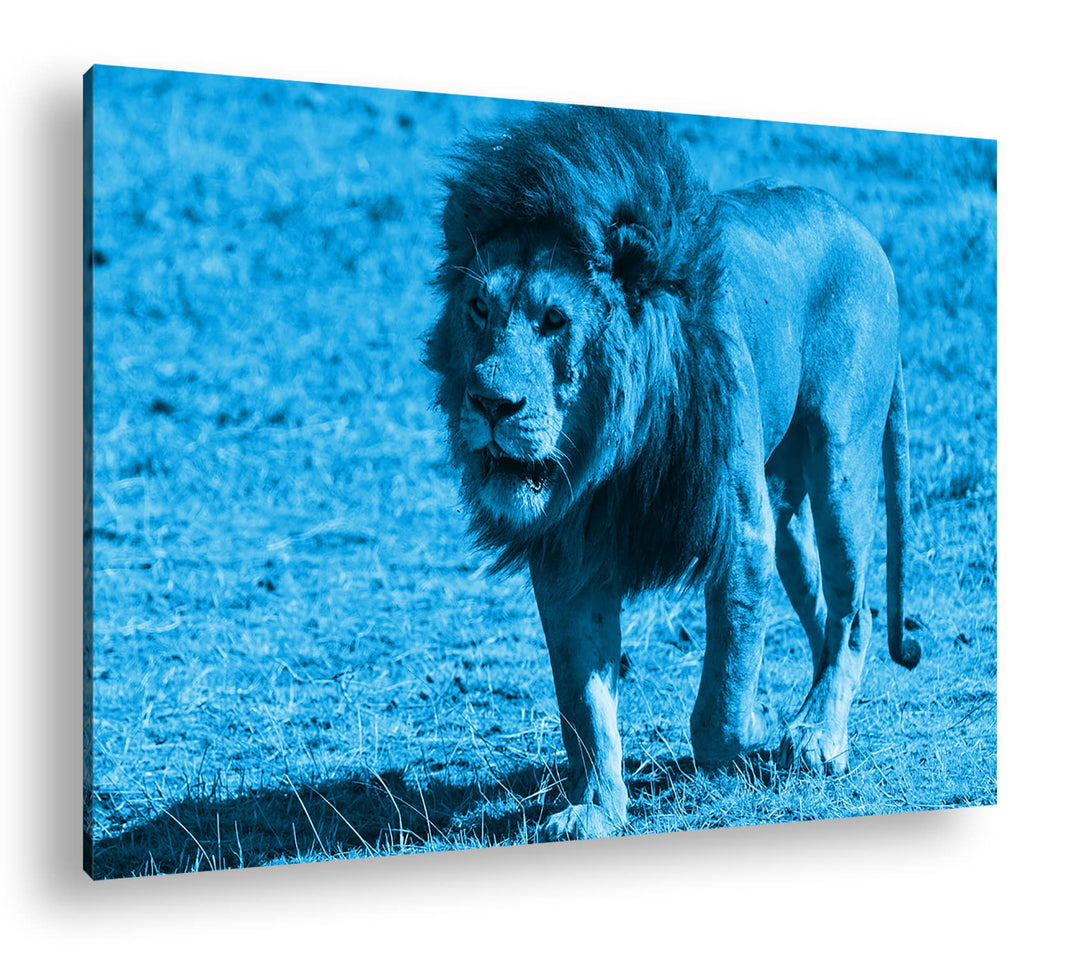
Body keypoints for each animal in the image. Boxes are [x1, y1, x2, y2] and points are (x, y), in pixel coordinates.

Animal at [425, 105, 922, 842]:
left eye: (554, 320)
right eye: (479, 310)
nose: (489, 403)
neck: (612, 455)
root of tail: (857, 225)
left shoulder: (740, 531)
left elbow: (720, 696)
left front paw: (753, 725)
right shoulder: (570, 555)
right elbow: (584, 698)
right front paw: (597, 807)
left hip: (840, 459)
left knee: (855, 608)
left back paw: (816, 735)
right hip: (788, 504)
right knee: (825, 608)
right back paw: (812, 710)